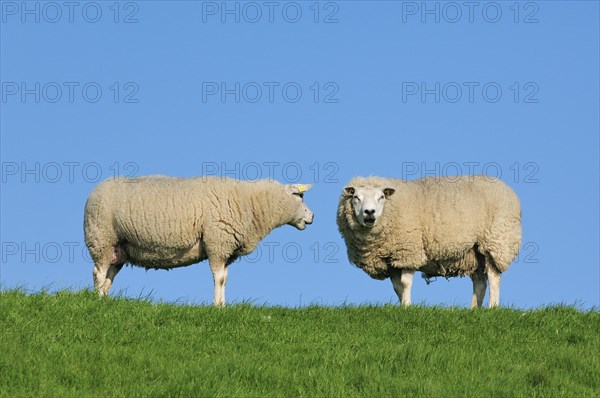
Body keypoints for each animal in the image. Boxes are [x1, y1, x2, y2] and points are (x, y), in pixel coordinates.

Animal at [84, 176, 314, 306]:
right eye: (298, 195)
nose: (312, 216)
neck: (251, 204)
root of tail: (94, 192)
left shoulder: (226, 250)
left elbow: (225, 278)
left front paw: (223, 305)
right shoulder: (217, 243)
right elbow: (219, 279)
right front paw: (217, 307)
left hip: (119, 248)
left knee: (109, 275)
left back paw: (105, 299)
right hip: (101, 238)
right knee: (98, 272)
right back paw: (97, 301)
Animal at [338, 176, 520, 310]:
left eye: (381, 197)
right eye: (356, 197)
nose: (370, 212)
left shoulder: (409, 251)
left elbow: (405, 282)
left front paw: (407, 307)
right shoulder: (393, 260)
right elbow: (397, 286)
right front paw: (402, 305)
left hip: (496, 242)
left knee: (494, 278)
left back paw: (493, 308)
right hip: (473, 253)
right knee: (480, 282)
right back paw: (474, 310)